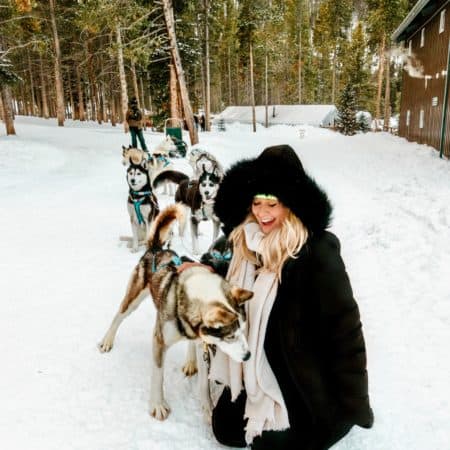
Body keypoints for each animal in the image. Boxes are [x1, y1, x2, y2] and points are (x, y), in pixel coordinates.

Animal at [98, 205, 253, 422]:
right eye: (230, 336)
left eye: (243, 330)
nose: (248, 356)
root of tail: (157, 248)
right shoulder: (159, 340)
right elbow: (158, 374)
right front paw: (157, 405)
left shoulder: (203, 342)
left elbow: (204, 383)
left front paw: (207, 408)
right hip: (133, 299)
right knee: (118, 316)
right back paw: (107, 340)